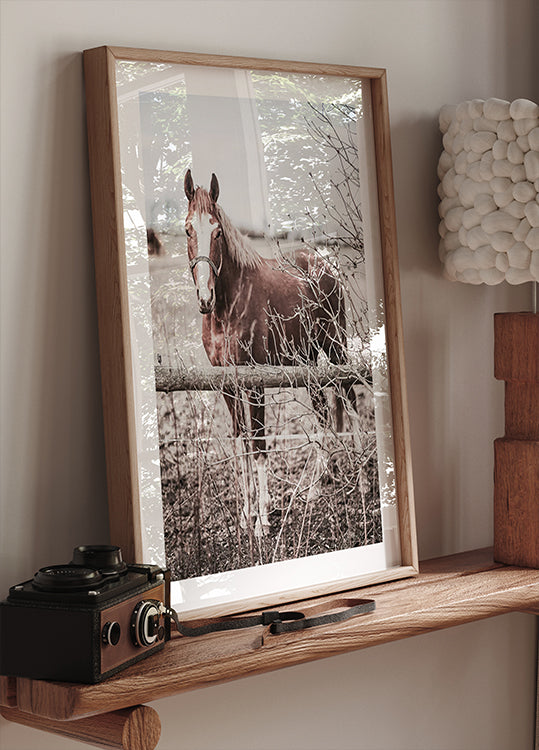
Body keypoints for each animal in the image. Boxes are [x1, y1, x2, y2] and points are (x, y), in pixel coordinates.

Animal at [183, 169, 352, 537]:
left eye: (217, 231)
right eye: (188, 228)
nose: (205, 297)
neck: (228, 308)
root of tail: (323, 262)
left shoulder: (255, 384)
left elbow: (259, 447)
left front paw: (261, 521)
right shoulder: (227, 386)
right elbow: (241, 445)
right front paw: (245, 516)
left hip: (335, 348)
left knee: (348, 396)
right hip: (308, 363)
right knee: (323, 413)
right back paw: (314, 488)